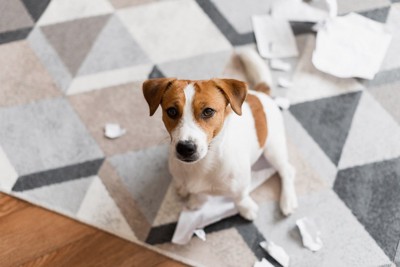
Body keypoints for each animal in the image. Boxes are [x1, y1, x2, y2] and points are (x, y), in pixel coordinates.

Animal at [143, 49, 296, 221]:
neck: (203, 164)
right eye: (172, 111)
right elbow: (200, 194)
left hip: (273, 149)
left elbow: (240, 197)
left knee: (287, 170)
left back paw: (287, 200)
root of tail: (260, 93)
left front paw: (246, 208)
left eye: (208, 111)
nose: (185, 148)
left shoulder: (240, 184)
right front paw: (197, 200)